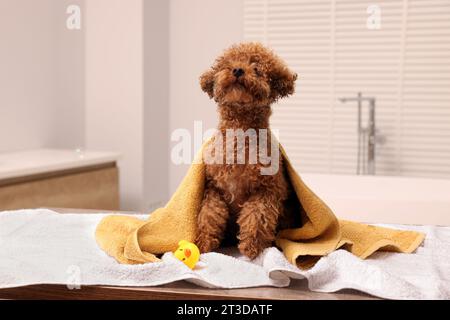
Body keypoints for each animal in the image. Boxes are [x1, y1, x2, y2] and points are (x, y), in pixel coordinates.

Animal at [196, 42, 298, 258]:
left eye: (257, 68)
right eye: (228, 63)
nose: (237, 70)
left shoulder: (267, 190)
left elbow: (257, 216)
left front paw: (252, 247)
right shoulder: (213, 188)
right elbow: (209, 214)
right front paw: (204, 243)